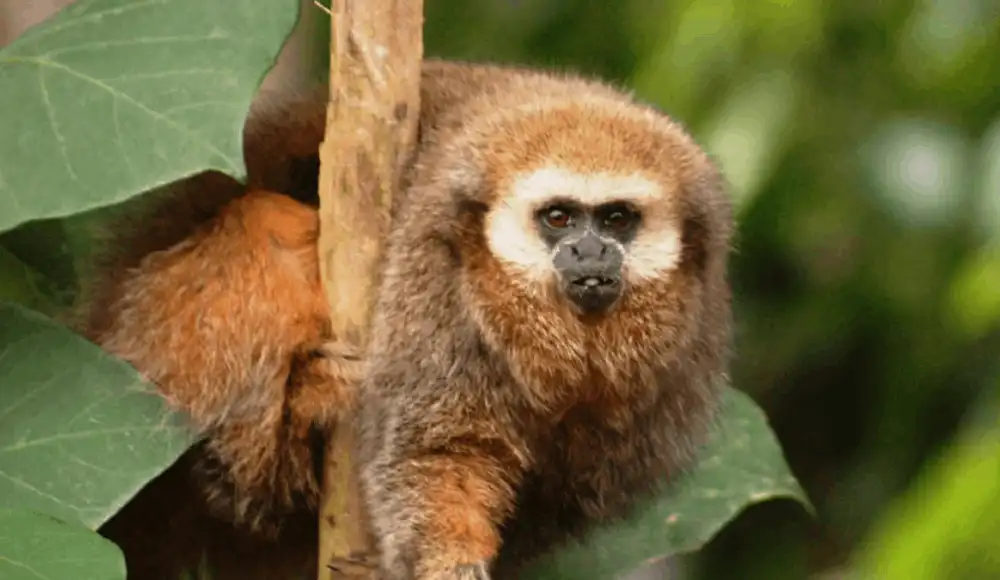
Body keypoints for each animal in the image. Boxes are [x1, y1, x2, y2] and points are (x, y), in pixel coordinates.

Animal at [355, 60, 734, 579]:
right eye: (558, 218)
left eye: (617, 219)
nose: (589, 251)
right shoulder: (433, 283)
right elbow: (438, 450)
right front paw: (450, 557)